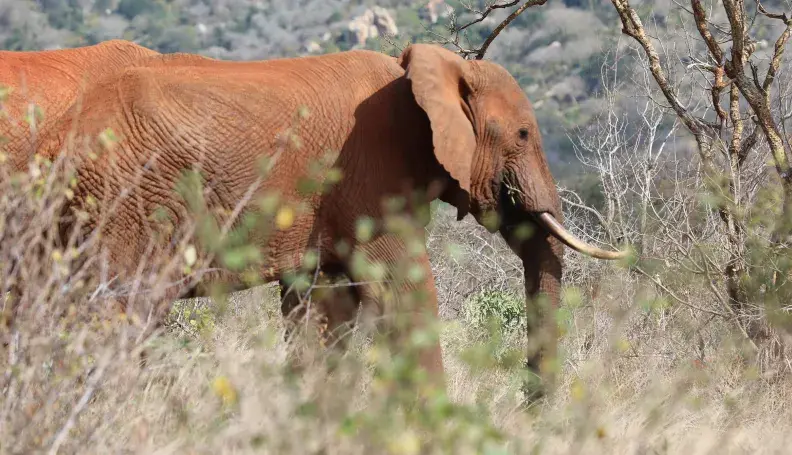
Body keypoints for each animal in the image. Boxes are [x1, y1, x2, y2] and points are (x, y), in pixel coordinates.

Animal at [36, 44, 627, 392]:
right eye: (524, 134)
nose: (531, 406)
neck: (417, 72)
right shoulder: (372, 173)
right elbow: (401, 289)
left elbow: (322, 306)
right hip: (124, 203)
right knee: (118, 313)